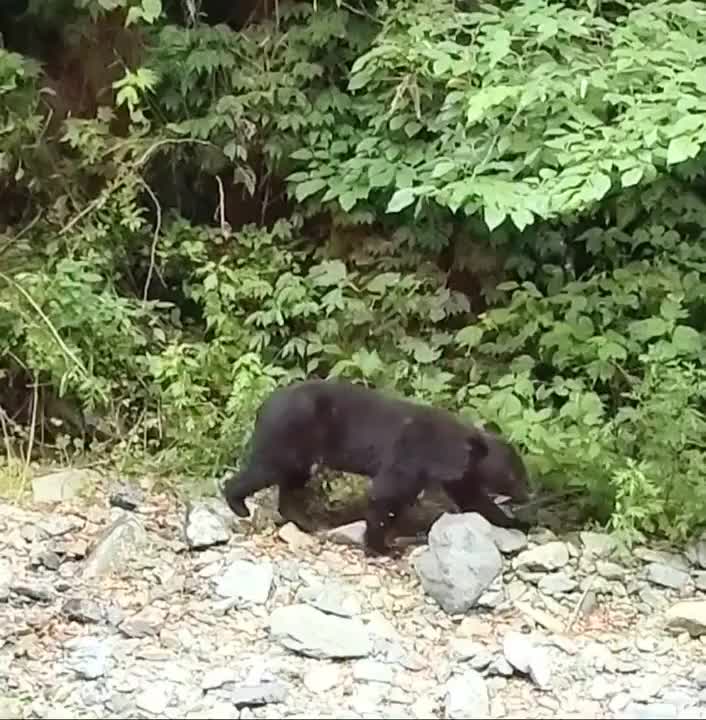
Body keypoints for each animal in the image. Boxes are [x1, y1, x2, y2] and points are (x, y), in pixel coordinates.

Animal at [222, 378, 531, 555]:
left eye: (522, 472)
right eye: (513, 474)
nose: (529, 493)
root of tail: (264, 405)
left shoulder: (459, 475)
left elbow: (474, 498)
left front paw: (516, 522)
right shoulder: (411, 453)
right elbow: (387, 494)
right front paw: (382, 547)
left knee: (291, 479)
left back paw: (304, 520)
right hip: (289, 434)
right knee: (266, 469)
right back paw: (238, 502)